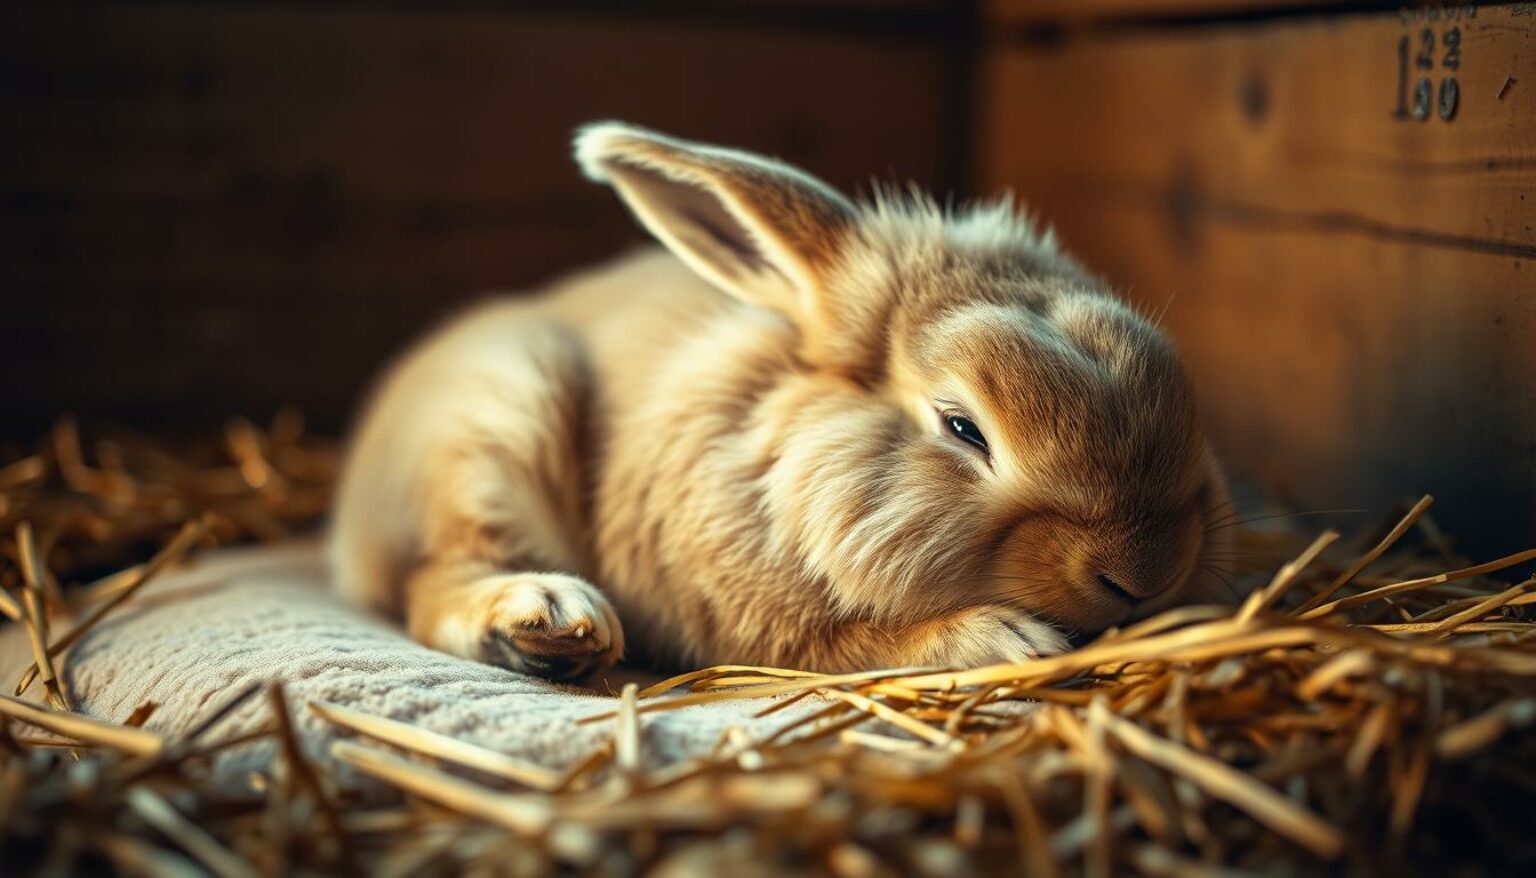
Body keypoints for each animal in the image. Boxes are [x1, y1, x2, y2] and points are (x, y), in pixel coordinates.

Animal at [330, 122, 1233, 681]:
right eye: (962, 427)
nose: (1144, 572)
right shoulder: (753, 619)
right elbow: (851, 644)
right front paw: (1003, 638)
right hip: (496, 421)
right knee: (433, 580)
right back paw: (547, 620)